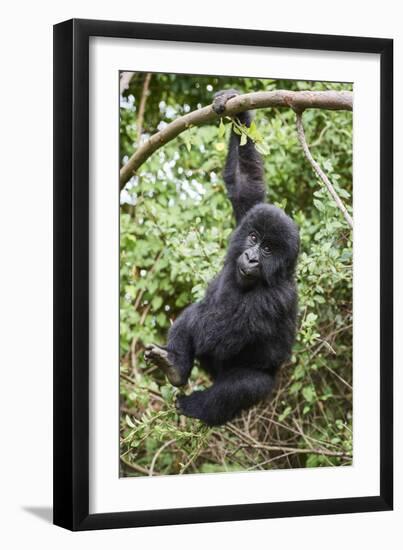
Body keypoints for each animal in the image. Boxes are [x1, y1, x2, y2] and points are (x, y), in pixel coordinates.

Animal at [145, 89, 300, 426]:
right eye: (254, 238)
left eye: (268, 250)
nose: (252, 257)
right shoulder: (248, 214)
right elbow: (245, 183)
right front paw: (234, 106)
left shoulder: (275, 299)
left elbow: (214, 332)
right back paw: (175, 366)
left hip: (263, 383)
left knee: (237, 388)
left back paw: (196, 404)